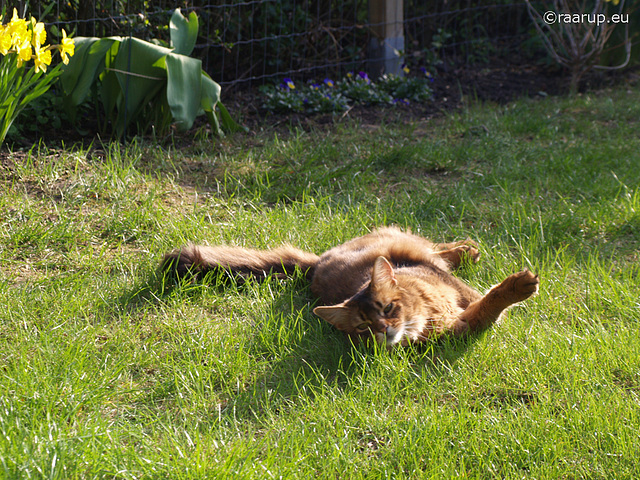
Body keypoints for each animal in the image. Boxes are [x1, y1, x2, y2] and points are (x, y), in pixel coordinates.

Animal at [161, 227, 540, 346]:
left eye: (388, 307)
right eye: (362, 328)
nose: (385, 330)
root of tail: (316, 264)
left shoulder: (453, 288)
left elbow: (480, 294)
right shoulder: (464, 327)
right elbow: (490, 304)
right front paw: (518, 287)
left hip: (397, 240)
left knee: (434, 248)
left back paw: (466, 250)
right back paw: (467, 251)